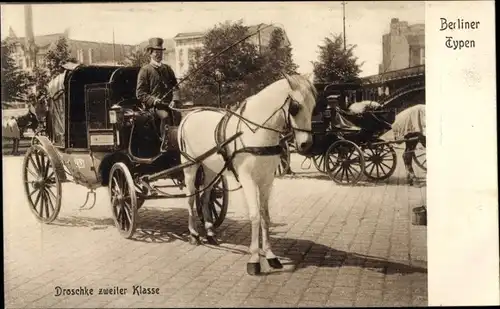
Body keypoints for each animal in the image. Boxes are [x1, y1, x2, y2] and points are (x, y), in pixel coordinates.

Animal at [178, 73, 314, 274]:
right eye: (296, 107)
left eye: (313, 105)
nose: (306, 144)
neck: (256, 132)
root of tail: (191, 114)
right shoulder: (247, 179)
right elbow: (255, 215)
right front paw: (254, 259)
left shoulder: (267, 179)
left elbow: (265, 216)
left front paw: (271, 256)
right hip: (190, 166)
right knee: (190, 199)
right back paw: (194, 234)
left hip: (211, 169)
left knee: (204, 198)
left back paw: (210, 233)